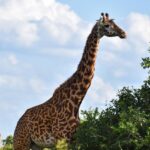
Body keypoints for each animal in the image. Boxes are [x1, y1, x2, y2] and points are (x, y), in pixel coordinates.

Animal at [13, 12, 126, 150]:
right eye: (107, 25)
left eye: (115, 23)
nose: (123, 33)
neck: (76, 101)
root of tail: (18, 122)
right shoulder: (61, 140)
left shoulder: (74, 140)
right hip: (21, 143)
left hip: (36, 145)